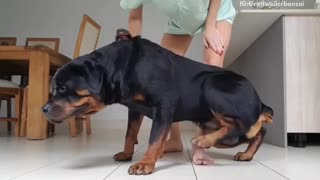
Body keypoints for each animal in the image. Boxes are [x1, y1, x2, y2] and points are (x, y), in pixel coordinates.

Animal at [42, 29, 272, 176]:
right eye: (53, 89)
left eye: (62, 89)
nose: (43, 108)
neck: (123, 67)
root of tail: (260, 102)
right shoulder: (135, 109)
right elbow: (130, 133)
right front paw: (127, 153)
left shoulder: (163, 106)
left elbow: (154, 138)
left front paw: (145, 163)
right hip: (213, 118)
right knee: (255, 131)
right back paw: (245, 154)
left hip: (212, 86)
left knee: (240, 130)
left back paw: (204, 141)